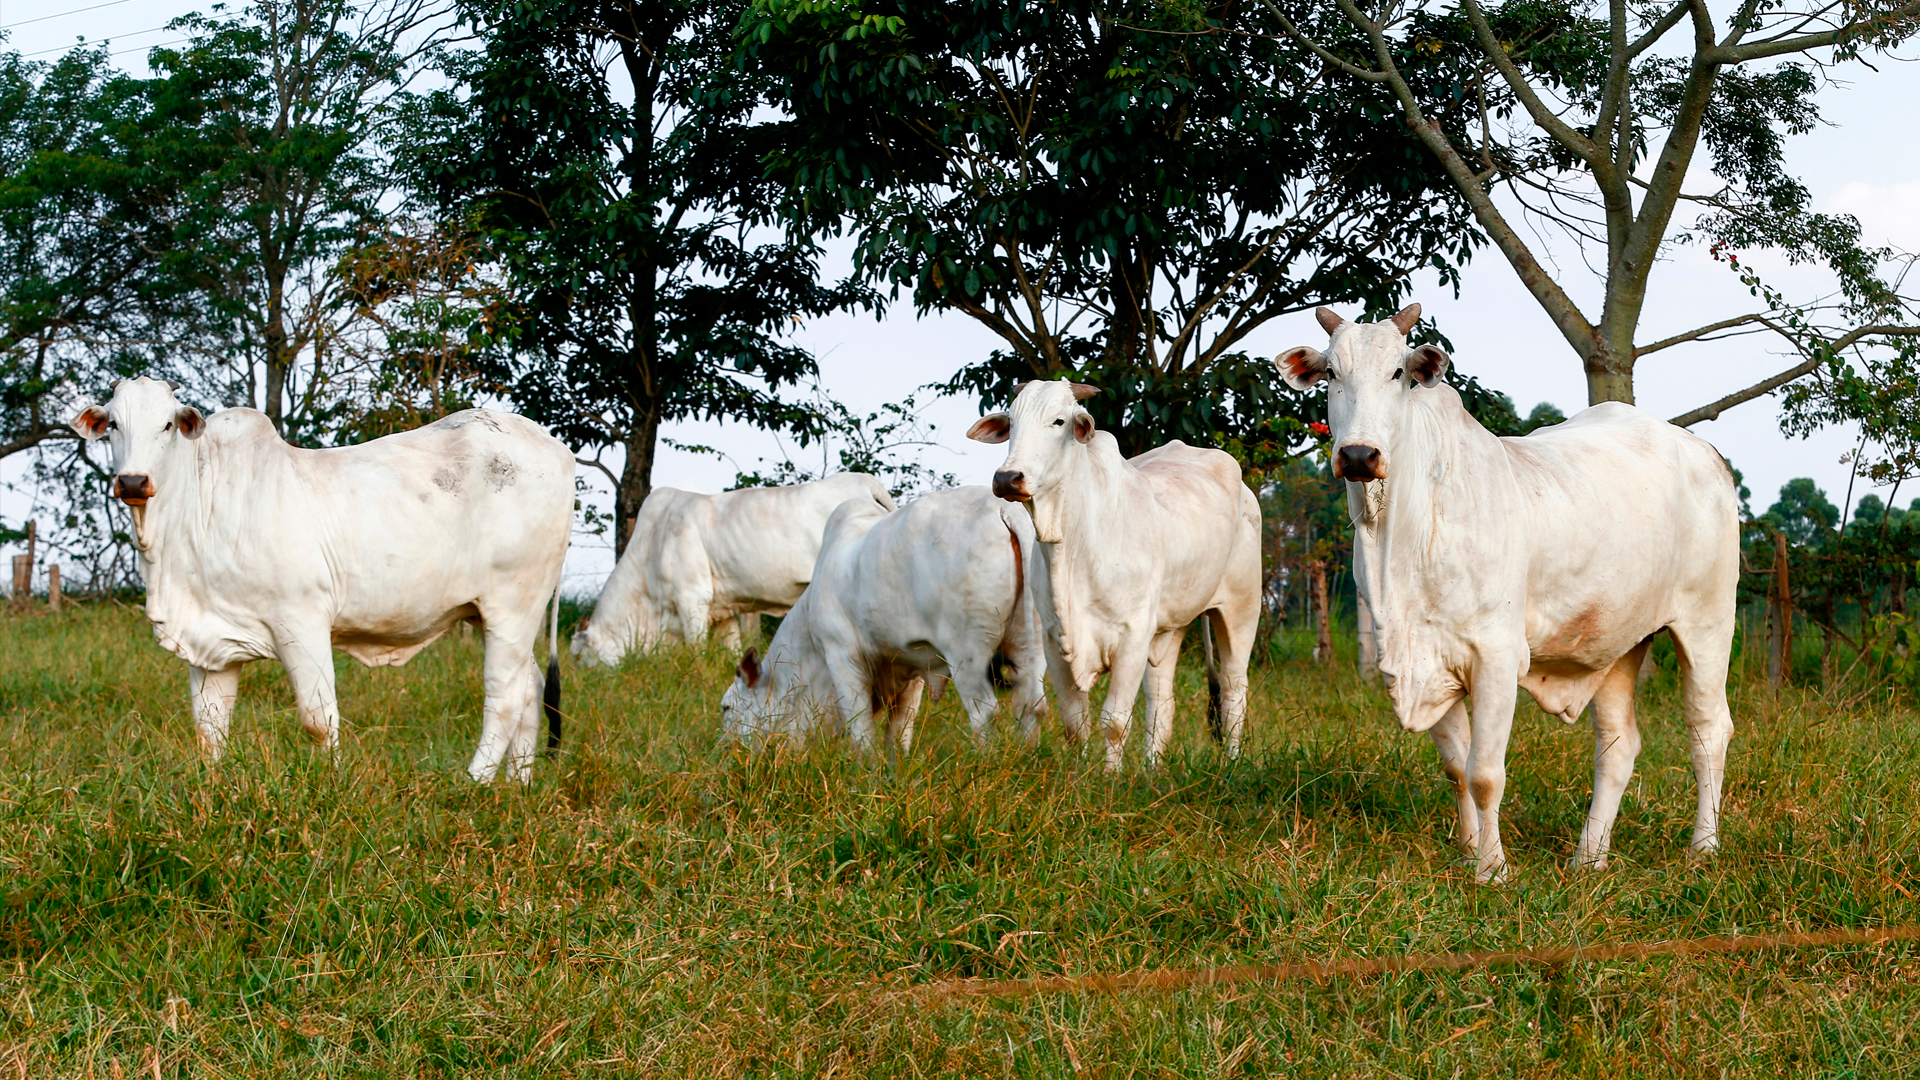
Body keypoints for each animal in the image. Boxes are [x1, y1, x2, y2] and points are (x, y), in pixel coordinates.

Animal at [69, 374, 576, 776]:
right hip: (498, 617)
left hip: (513, 606)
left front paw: (330, 785)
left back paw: (474, 784)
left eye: (168, 425)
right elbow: (209, 727)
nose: (133, 482)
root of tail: (559, 449)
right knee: (529, 689)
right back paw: (519, 786)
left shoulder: (302, 621)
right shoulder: (210, 642)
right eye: (113, 426)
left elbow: (318, 718)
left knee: (504, 698)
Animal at [568, 472, 898, 664]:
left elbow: (697, 651)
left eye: (580, 656)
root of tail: (867, 483)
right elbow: (732, 649)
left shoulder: (692, 599)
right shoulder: (723, 611)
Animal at [721, 484, 1052, 745]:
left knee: (984, 712)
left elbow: (860, 728)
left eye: (726, 708)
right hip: (1029, 642)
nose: (725, 751)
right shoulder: (914, 667)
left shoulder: (841, 655)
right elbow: (899, 731)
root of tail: (1003, 507)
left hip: (967, 653)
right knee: (1031, 704)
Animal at [975, 378, 1259, 764]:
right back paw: (1152, 768)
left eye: (1059, 421)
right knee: (1161, 701)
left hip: (1241, 610)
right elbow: (1075, 722)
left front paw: (1111, 775)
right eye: (1012, 423)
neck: (1073, 549)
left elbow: (1114, 721)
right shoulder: (1054, 640)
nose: (1007, 478)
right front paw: (1079, 773)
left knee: (1233, 691)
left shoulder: (1132, 636)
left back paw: (1231, 762)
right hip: (1169, 628)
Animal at [1274, 299, 1743, 876]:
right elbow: (1457, 768)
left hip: (1707, 623)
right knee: (1617, 745)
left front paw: (1492, 870)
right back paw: (1589, 858)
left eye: (1398, 373)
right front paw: (1469, 851)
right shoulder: (1428, 659)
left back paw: (1703, 848)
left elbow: (1484, 774)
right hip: (1618, 642)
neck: (1400, 537)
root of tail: (1705, 452)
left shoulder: (1495, 657)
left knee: (1708, 731)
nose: (1359, 455)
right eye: (1331, 375)